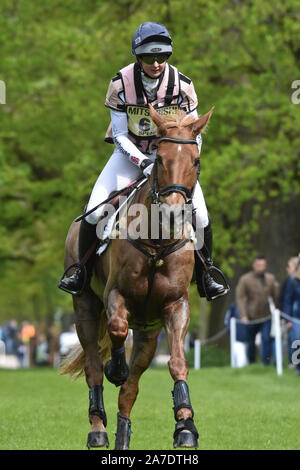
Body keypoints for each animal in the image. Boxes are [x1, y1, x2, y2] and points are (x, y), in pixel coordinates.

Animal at [58, 104, 213, 450]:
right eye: (160, 159)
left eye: (195, 161)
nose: (173, 215)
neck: (157, 243)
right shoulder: (116, 295)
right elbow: (117, 329)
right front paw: (116, 366)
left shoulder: (175, 305)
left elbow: (178, 363)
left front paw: (185, 426)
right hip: (85, 308)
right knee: (93, 367)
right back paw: (98, 429)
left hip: (148, 332)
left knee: (130, 389)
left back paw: (123, 435)